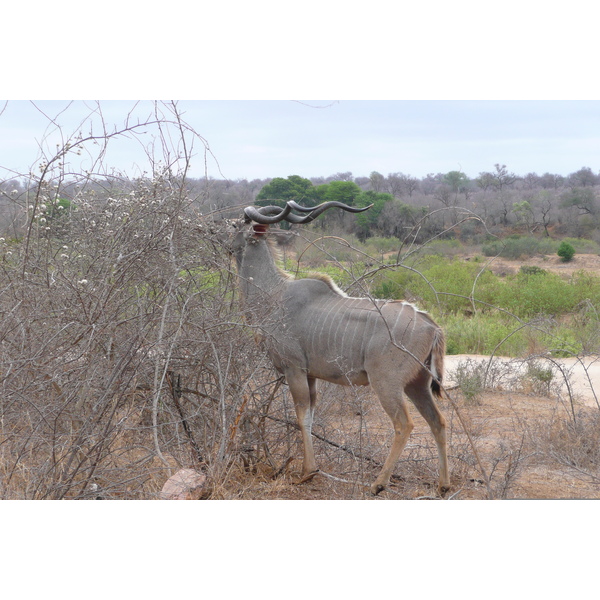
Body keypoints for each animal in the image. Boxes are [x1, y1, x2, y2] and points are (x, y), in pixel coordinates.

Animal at [232, 199, 448, 494]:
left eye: (234, 225)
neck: (274, 295)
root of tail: (432, 326)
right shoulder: (310, 375)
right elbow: (310, 416)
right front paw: (308, 469)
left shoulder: (294, 369)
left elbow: (302, 416)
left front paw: (308, 472)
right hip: (417, 384)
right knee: (438, 421)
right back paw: (443, 485)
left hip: (387, 382)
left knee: (404, 424)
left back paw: (378, 483)